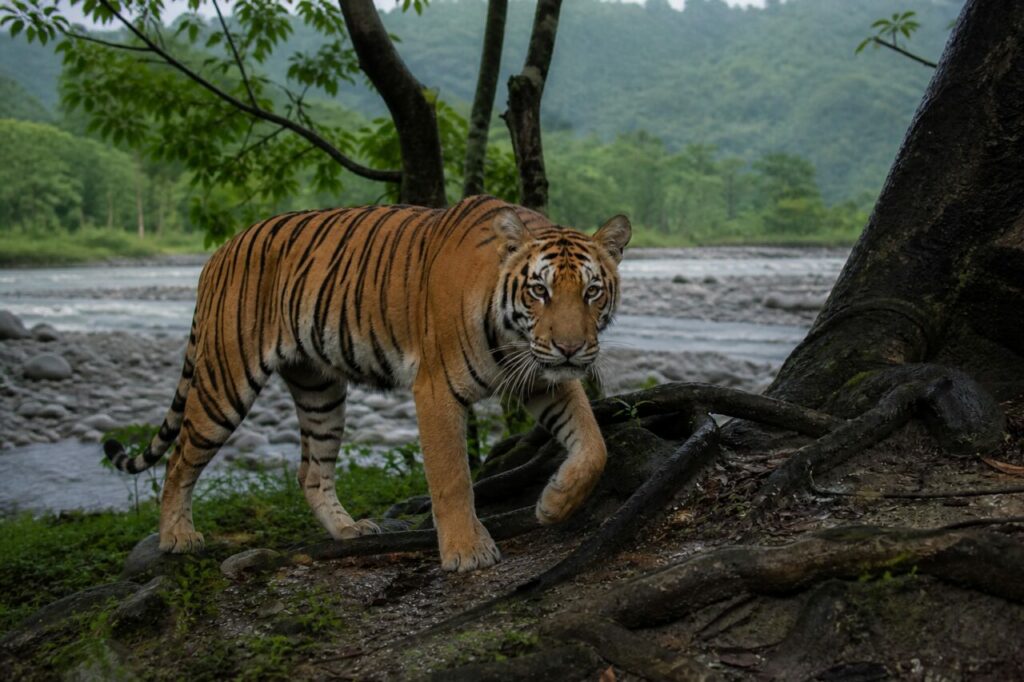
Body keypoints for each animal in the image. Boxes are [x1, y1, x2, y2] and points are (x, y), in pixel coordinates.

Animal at [103, 195, 631, 572]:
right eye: (539, 290)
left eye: (592, 291)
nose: (570, 348)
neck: (514, 336)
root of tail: (218, 253)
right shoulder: (436, 390)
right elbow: (452, 478)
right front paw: (465, 552)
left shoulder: (541, 376)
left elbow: (594, 445)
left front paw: (554, 504)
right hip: (224, 381)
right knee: (179, 462)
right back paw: (176, 538)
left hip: (319, 392)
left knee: (311, 470)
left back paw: (347, 531)